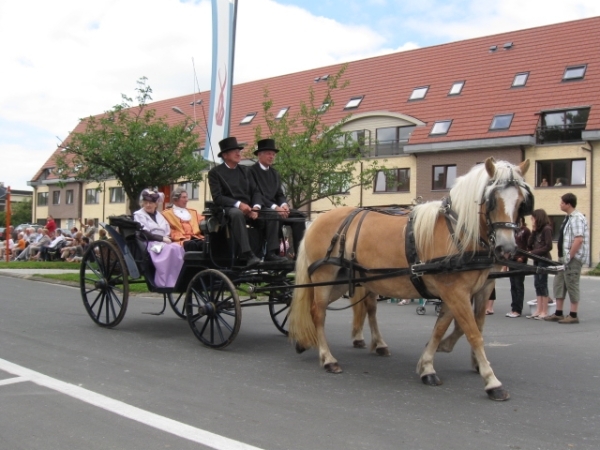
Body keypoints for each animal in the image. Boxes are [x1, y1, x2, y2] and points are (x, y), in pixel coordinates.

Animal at [290, 158, 528, 400]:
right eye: (492, 201)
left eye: (520, 201)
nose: (507, 248)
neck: (458, 232)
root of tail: (317, 219)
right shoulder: (455, 292)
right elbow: (473, 333)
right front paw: (492, 381)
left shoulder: (473, 290)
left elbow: (448, 328)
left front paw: (429, 364)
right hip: (325, 276)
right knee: (318, 313)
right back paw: (328, 358)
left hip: (340, 281)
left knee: (327, 308)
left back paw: (306, 340)